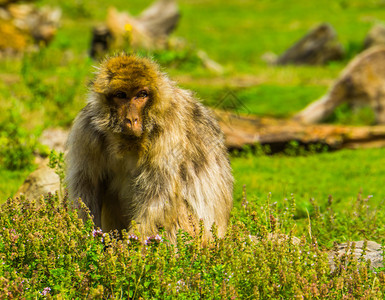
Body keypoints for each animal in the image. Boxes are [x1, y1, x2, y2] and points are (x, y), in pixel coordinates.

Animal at [66, 52, 232, 243]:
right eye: (121, 95)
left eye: (141, 95)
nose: (132, 119)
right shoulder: (86, 130)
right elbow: (86, 187)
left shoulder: (168, 130)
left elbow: (158, 195)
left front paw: (132, 245)